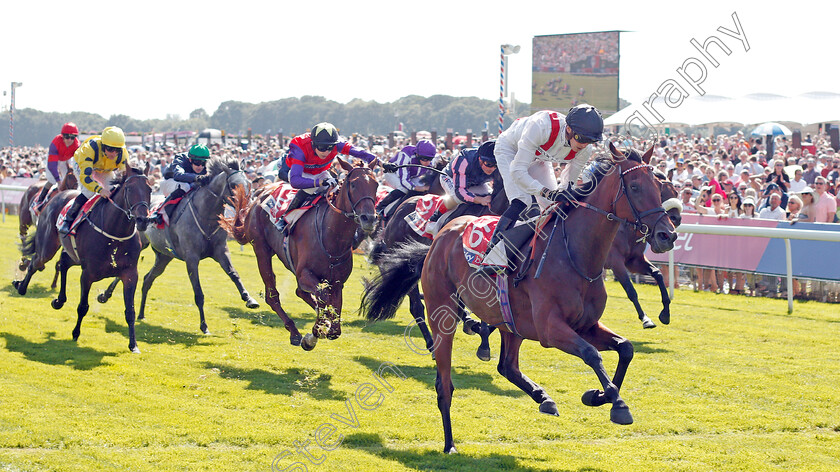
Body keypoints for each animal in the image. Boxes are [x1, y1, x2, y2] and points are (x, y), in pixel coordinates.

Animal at [49, 168, 152, 352]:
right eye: (129, 189)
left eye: (150, 190)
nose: (143, 220)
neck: (115, 234)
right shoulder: (87, 274)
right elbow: (83, 307)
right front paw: (75, 333)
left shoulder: (130, 274)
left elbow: (130, 311)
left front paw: (133, 344)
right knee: (61, 263)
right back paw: (58, 300)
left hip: (75, 257)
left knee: (64, 261)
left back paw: (59, 300)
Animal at [133, 157, 258, 334]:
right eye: (234, 185)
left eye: (249, 184)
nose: (247, 209)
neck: (207, 215)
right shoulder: (191, 258)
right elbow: (198, 292)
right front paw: (204, 326)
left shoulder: (221, 251)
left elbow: (234, 274)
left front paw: (249, 298)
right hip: (142, 243)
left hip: (164, 257)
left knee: (147, 279)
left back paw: (141, 314)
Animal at [223, 159, 380, 350]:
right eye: (354, 184)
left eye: (376, 185)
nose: (369, 218)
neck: (332, 237)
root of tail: (261, 192)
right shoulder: (305, 274)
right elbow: (323, 299)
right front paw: (312, 335)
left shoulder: (337, 282)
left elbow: (334, 323)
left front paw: (324, 326)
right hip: (261, 250)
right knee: (272, 296)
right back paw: (295, 333)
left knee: (300, 292)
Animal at [360, 144, 676, 454]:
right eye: (634, 187)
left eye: (658, 186)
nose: (667, 235)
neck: (575, 255)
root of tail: (439, 238)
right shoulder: (551, 329)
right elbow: (592, 354)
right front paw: (617, 403)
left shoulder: (586, 325)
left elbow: (625, 348)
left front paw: (598, 395)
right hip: (444, 313)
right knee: (443, 379)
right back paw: (449, 442)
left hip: (511, 322)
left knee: (507, 366)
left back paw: (542, 397)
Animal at [604, 173, 684, 328]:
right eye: (661, 192)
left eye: (676, 192)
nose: (676, 219)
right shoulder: (615, 261)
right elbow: (630, 290)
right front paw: (645, 318)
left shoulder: (634, 261)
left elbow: (657, 273)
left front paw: (665, 313)